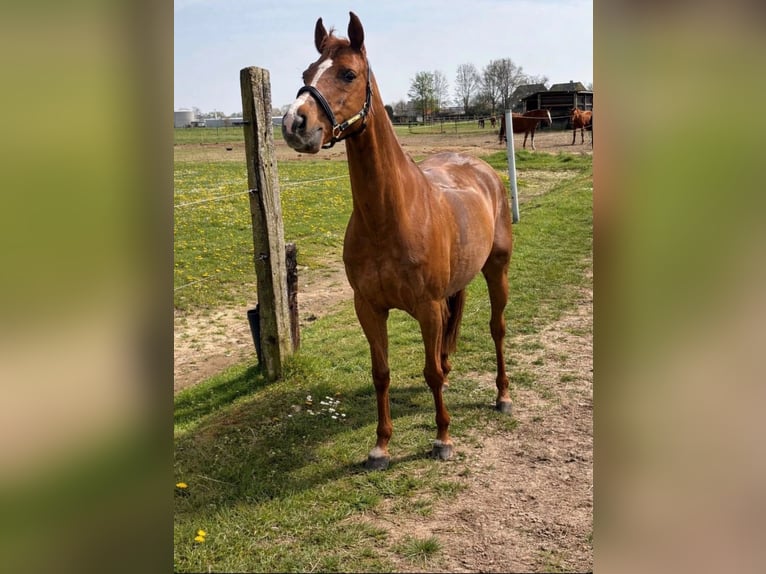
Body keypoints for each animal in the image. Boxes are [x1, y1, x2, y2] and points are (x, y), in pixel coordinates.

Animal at [282, 12, 514, 470]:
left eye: (348, 73)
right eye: (305, 74)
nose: (295, 124)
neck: (390, 218)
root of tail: (481, 169)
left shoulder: (426, 308)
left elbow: (430, 373)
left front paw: (443, 438)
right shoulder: (369, 308)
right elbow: (382, 373)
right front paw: (381, 446)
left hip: (496, 271)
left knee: (496, 329)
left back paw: (502, 395)